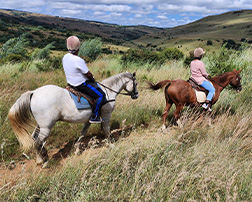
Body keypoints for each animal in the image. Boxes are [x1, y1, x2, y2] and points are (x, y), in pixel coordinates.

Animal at [8, 72, 138, 164]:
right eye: (136, 84)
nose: (136, 95)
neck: (107, 92)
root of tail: (34, 92)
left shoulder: (90, 118)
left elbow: (83, 133)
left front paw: (76, 148)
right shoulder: (106, 115)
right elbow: (106, 130)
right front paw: (111, 143)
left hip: (41, 125)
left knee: (34, 138)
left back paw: (44, 154)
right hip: (46, 127)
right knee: (38, 141)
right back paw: (41, 161)